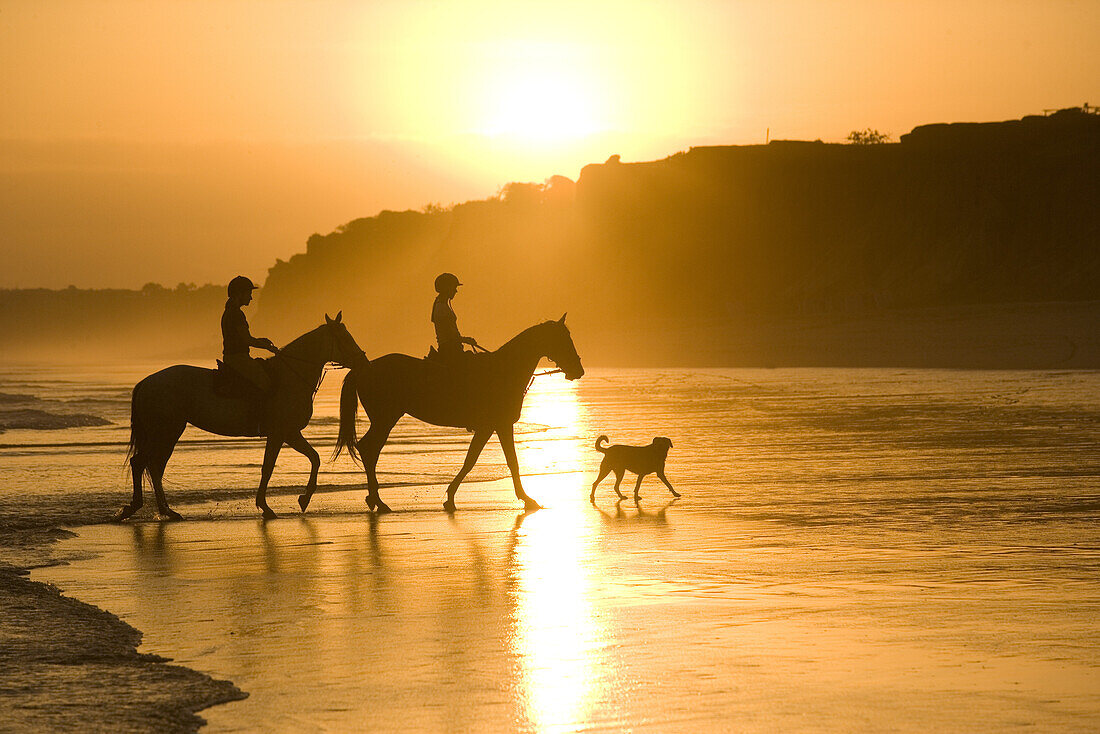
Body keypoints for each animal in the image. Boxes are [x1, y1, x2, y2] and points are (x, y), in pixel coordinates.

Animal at [116, 312, 367, 521]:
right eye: (345, 338)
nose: (363, 361)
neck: (289, 377)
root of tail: (147, 382)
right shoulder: (282, 432)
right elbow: (272, 466)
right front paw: (275, 504)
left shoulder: (288, 433)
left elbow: (312, 458)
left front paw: (298, 500)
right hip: (166, 431)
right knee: (144, 463)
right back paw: (145, 509)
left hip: (168, 432)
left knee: (153, 466)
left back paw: (163, 510)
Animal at [310, 312, 585, 515]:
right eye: (563, 339)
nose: (578, 370)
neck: (503, 370)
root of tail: (364, 368)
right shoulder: (497, 425)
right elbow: (500, 462)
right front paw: (526, 499)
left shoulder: (492, 427)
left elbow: (478, 460)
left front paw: (451, 497)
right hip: (385, 419)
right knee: (369, 449)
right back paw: (378, 501)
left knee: (370, 450)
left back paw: (374, 499)